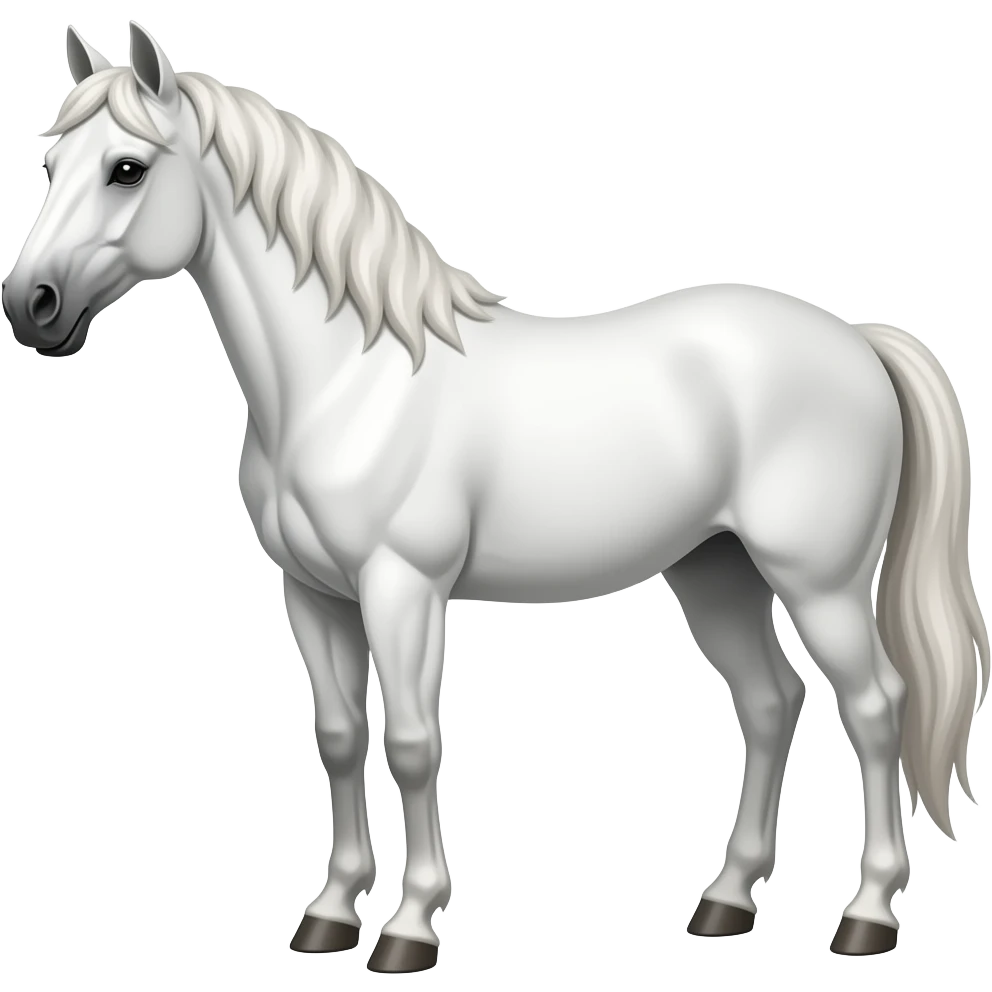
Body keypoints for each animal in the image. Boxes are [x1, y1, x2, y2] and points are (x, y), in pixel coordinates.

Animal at [3, 20, 988, 971]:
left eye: (128, 168)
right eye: (51, 164)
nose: (31, 306)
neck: (351, 379)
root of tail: (857, 341)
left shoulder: (403, 588)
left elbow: (410, 744)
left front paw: (408, 928)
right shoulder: (313, 595)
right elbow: (339, 739)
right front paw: (328, 916)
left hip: (818, 582)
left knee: (876, 707)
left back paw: (867, 916)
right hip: (716, 571)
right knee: (771, 702)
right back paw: (726, 902)